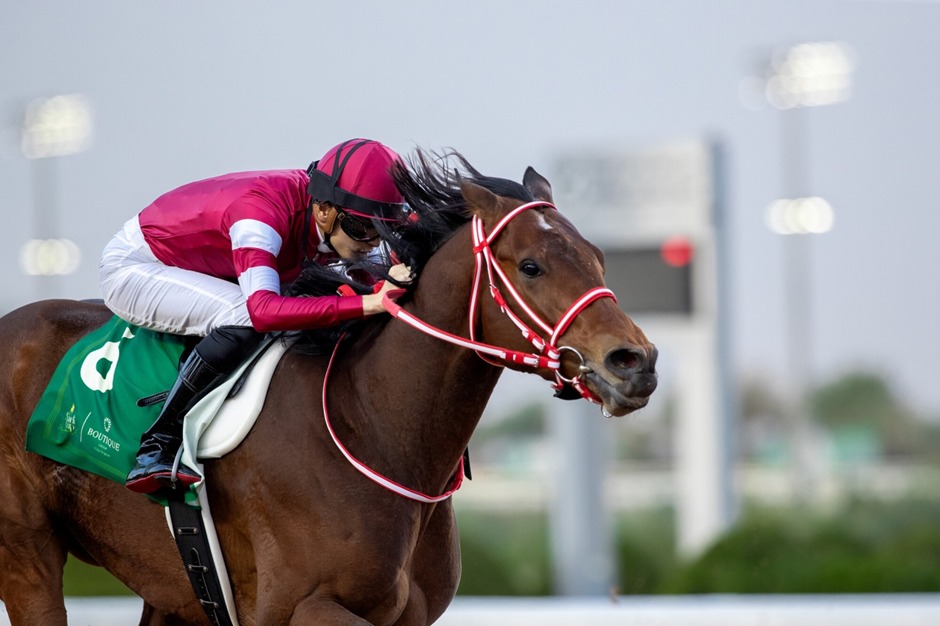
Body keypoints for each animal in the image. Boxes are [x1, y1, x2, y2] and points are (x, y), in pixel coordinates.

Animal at [0, 151, 657, 625]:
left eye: (597, 258)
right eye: (531, 266)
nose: (636, 362)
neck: (374, 426)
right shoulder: (297, 607)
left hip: (170, 592)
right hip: (28, 556)